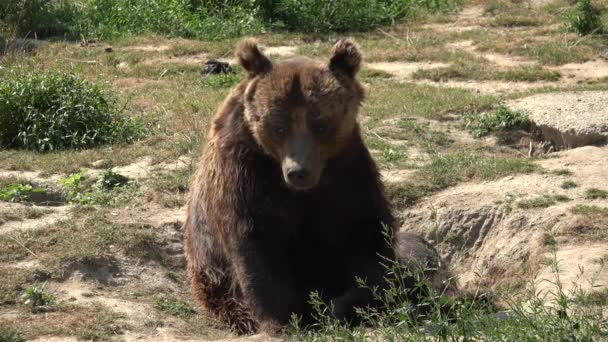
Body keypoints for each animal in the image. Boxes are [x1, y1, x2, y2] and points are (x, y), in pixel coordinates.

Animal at [183, 38, 440, 334]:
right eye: (278, 126)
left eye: (320, 123)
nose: (298, 172)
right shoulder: (244, 170)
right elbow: (257, 241)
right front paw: (283, 318)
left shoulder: (346, 169)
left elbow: (365, 235)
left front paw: (353, 303)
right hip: (214, 285)